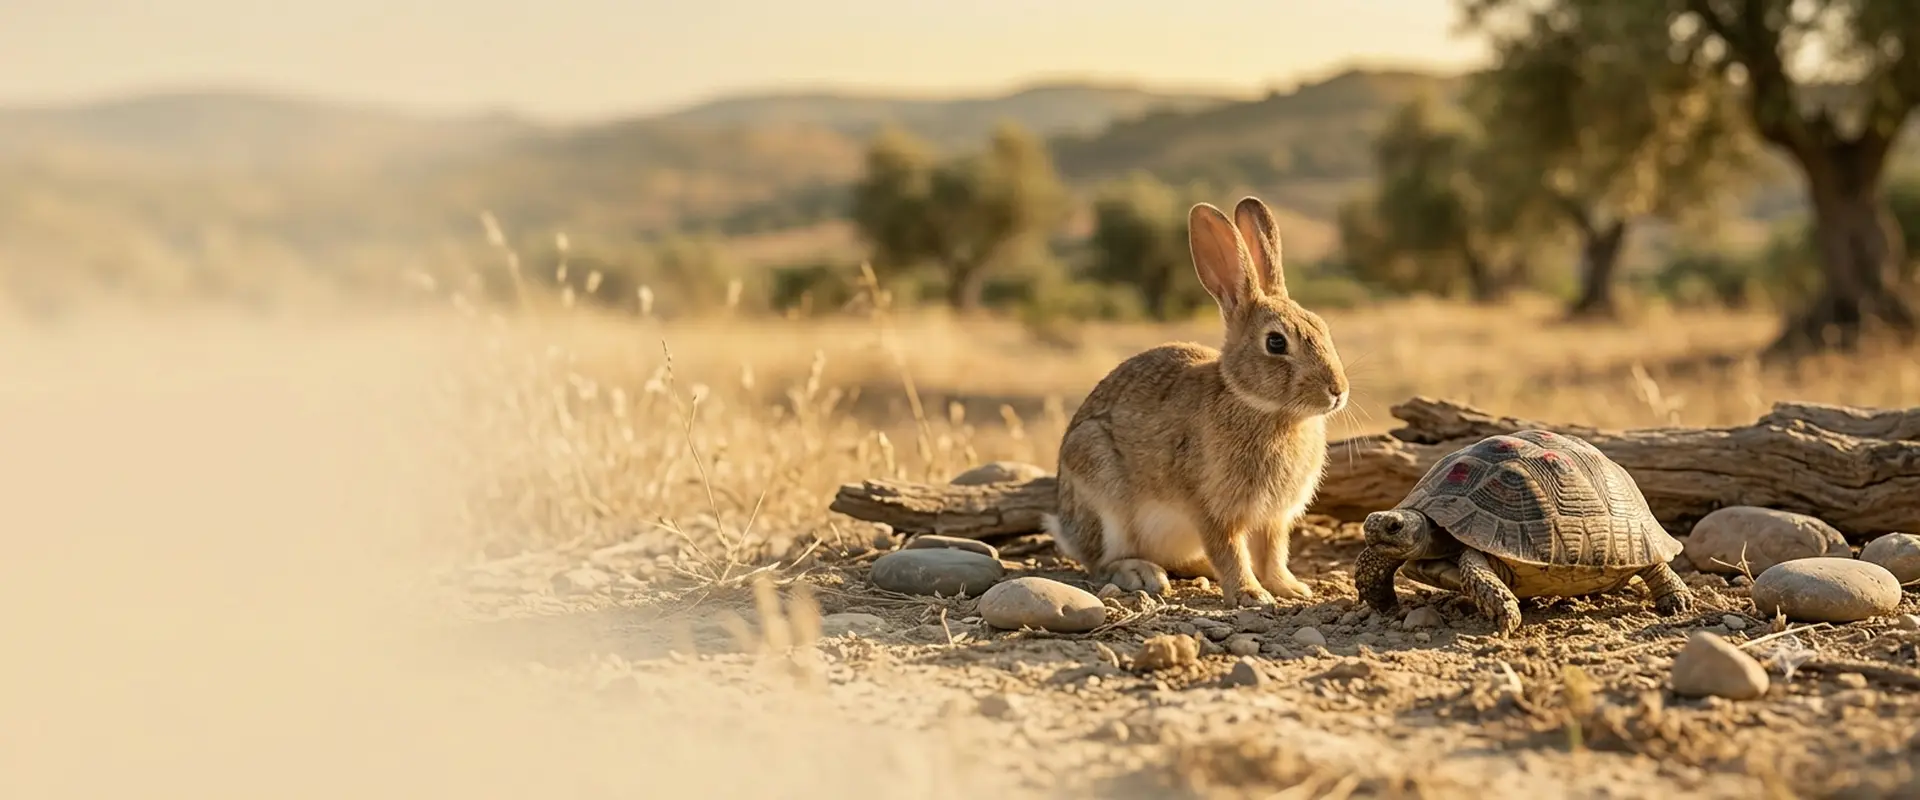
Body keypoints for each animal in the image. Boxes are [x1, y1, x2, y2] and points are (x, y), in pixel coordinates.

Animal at [1041, 196, 1350, 608]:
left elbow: (1273, 553)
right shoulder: (1211, 509)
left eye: (1323, 328)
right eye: (1276, 343)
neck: (1264, 409)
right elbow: (1230, 551)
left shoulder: (1274, 519)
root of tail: (1066, 525)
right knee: (1102, 561)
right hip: (1099, 483)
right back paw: (1140, 573)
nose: (1338, 390)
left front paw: (1289, 588)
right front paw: (1251, 594)